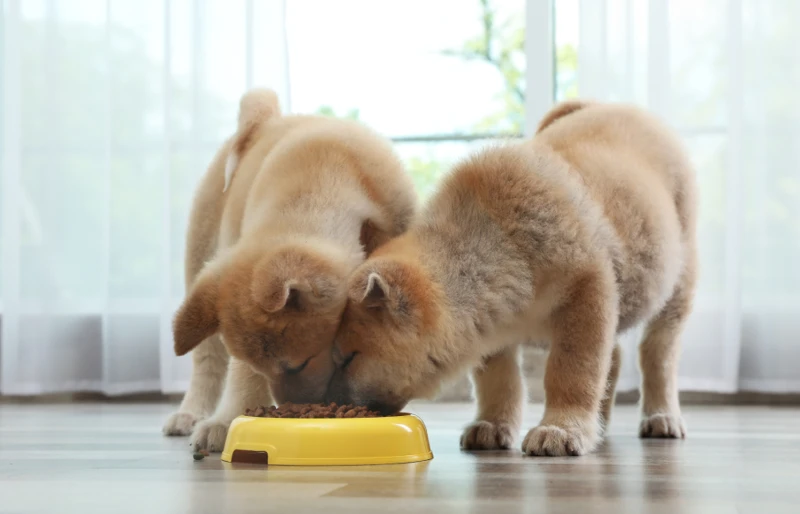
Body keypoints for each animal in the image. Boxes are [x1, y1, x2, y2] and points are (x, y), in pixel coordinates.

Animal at [159, 88, 416, 448]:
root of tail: (266, 121)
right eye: (267, 369)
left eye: (300, 364)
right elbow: (241, 373)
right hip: (200, 257)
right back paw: (192, 413)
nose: (291, 409)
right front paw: (227, 421)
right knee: (206, 359)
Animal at [328, 101, 696, 456]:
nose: (335, 404)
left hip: (677, 287)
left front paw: (561, 429)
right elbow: (499, 381)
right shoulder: (491, 328)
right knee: (616, 357)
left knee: (658, 355)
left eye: (350, 357)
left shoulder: (587, 295)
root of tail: (612, 106)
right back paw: (601, 426)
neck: (500, 242)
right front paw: (492, 425)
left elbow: (572, 372)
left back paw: (661, 417)